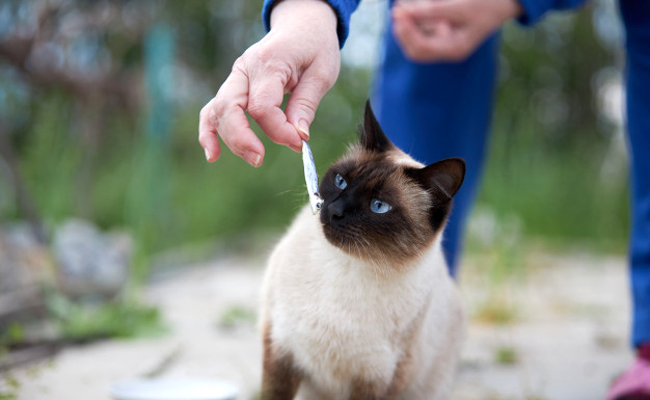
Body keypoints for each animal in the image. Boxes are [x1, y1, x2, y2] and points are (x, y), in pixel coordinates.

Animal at [258, 102, 466, 400]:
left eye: (378, 206)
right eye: (341, 181)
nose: (333, 210)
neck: (344, 266)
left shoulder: (376, 380)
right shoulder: (280, 350)